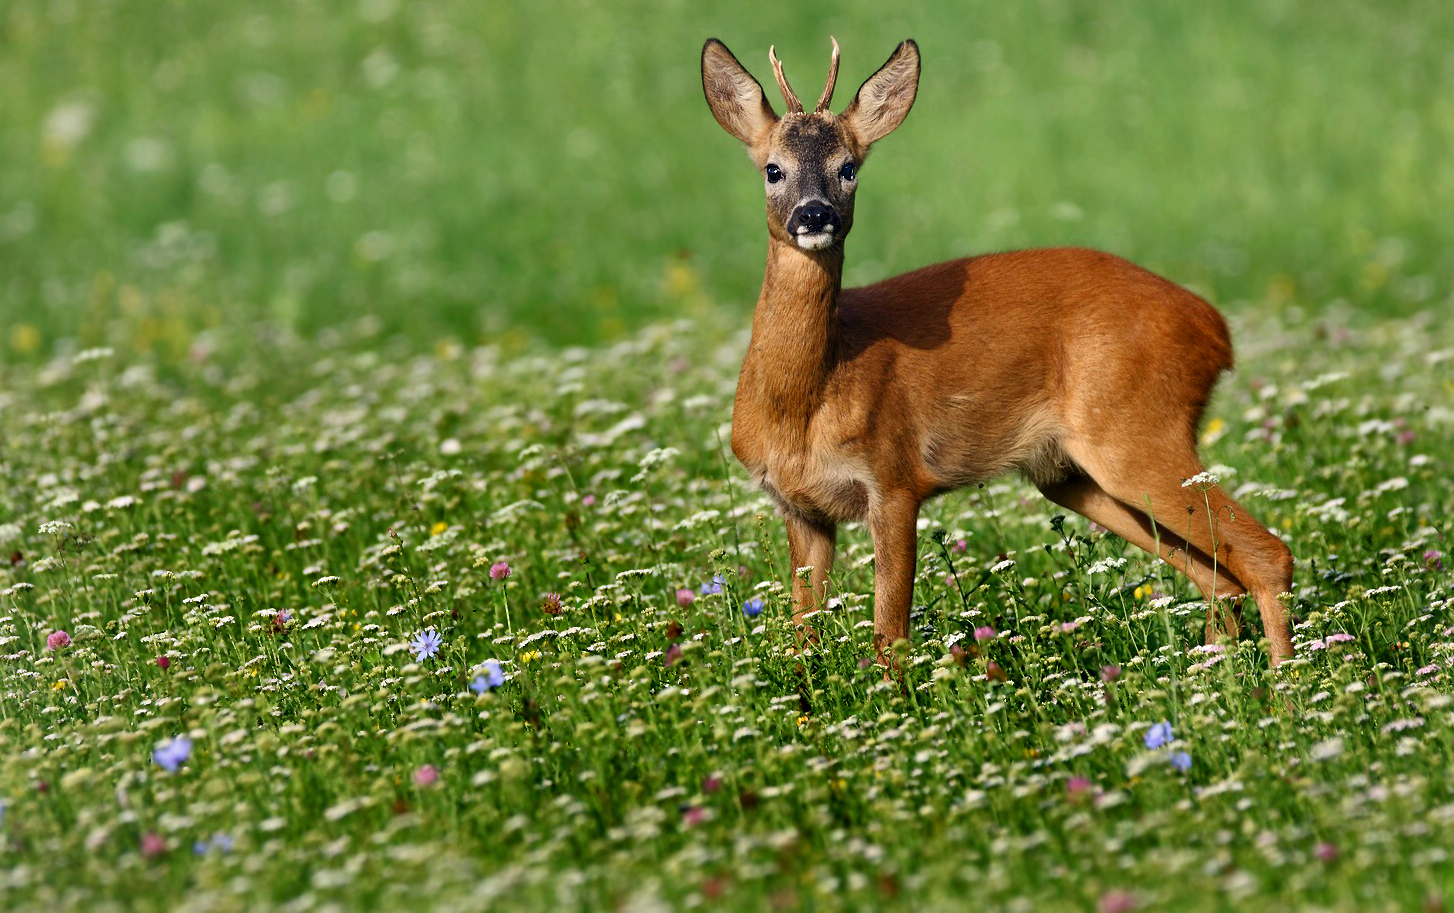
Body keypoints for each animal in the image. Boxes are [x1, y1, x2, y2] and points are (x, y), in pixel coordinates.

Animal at [700, 37, 1296, 662]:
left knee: (1266, 556)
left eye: (849, 168)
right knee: (1219, 576)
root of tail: (1215, 328)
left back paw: (1287, 682)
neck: (806, 400)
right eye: (773, 169)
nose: (816, 214)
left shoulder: (894, 477)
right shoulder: (798, 506)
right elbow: (803, 638)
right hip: (1071, 473)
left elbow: (891, 638)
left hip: (1137, 430)